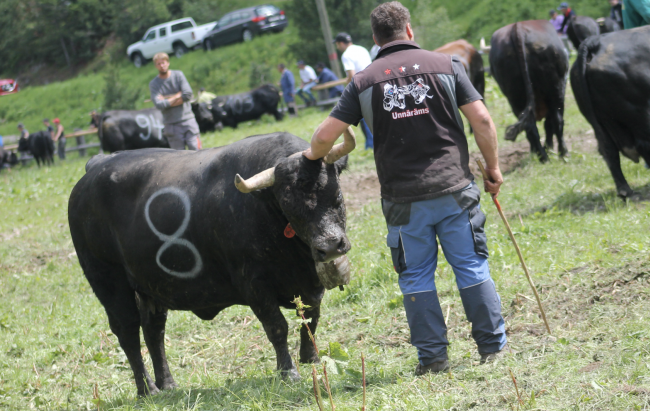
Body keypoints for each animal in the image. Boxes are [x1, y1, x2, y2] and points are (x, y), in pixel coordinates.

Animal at [488, 20, 564, 163]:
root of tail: (517, 28)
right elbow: (550, 123)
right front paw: (550, 148)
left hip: (515, 97)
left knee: (530, 126)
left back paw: (543, 156)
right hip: (555, 89)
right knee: (557, 120)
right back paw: (563, 153)